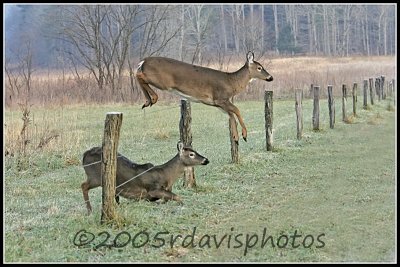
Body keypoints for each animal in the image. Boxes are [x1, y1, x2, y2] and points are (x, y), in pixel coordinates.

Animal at [79, 143, 208, 215]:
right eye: (191, 154)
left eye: (195, 151)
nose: (206, 160)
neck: (166, 175)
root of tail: (84, 155)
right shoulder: (153, 189)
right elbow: (178, 197)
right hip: (95, 177)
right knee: (83, 185)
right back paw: (89, 210)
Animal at [136, 52, 274, 144]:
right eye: (259, 68)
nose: (270, 77)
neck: (232, 82)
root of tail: (143, 61)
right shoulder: (220, 98)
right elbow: (237, 110)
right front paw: (244, 135)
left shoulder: (218, 103)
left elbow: (231, 115)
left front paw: (235, 137)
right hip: (161, 81)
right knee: (139, 75)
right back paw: (153, 98)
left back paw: (148, 101)